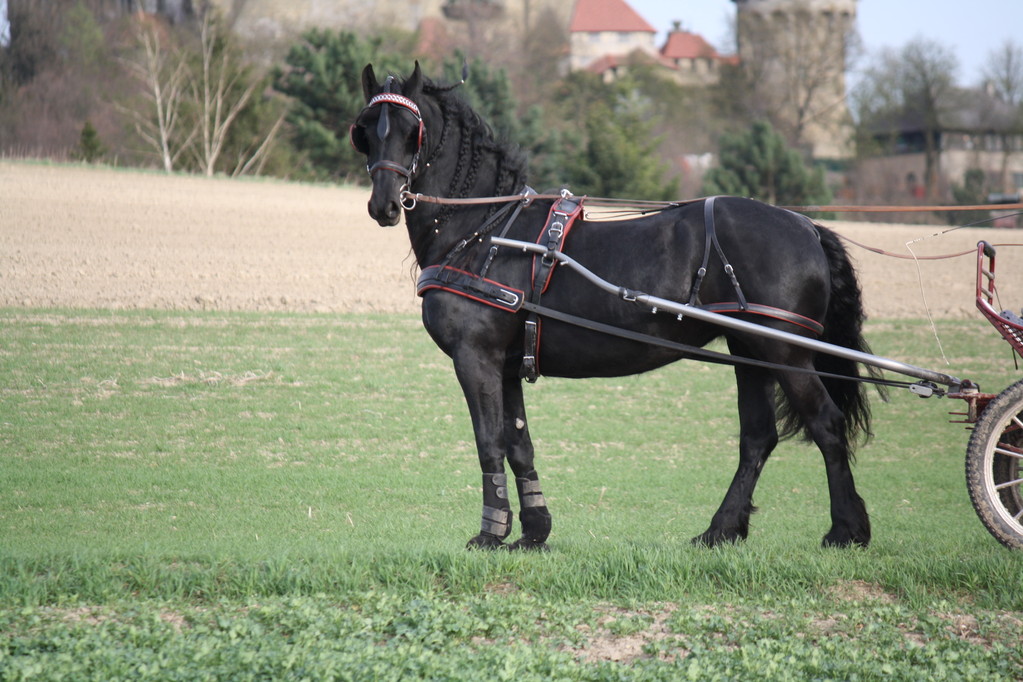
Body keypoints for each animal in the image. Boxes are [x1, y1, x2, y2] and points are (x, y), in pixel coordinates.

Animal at [353, 63, 879, 552]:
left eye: (412, 130)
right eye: (366, 130)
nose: (384, 205)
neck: (485, 228)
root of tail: (805, 226)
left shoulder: (475, 356)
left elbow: (489, 442)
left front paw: (490, 533)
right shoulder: (505, 363)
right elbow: (518, 442)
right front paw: (534, 532)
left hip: (784, 352)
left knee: (826, 424)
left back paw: (845, 530)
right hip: (750, 351)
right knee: (757, 437)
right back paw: (720, 530)